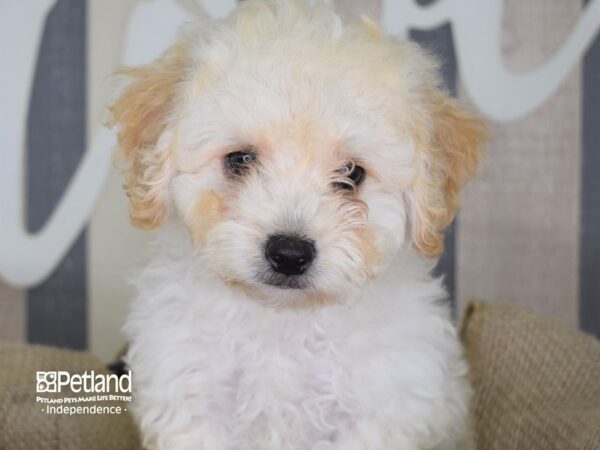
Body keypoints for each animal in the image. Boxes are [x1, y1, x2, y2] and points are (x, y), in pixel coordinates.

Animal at [110, 1, 488, 448]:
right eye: (240, 159)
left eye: (351, 173)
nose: (289, 254)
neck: (284, 322)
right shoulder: (190, 391)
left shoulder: (383, 405)